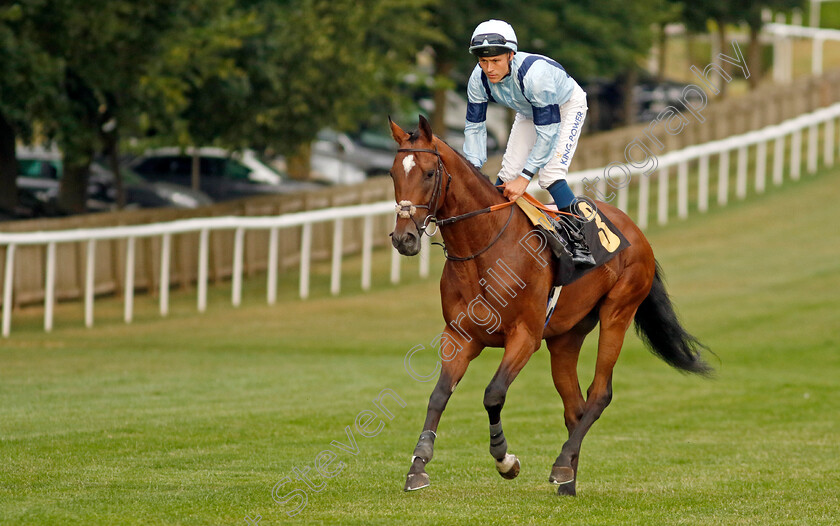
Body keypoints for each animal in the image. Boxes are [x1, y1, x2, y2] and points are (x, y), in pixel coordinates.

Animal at [388, 116, 708, 500]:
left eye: (428, 173)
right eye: (393, 173)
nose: (403, 238)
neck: (484, 248)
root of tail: (637, 233)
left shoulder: (525, 337)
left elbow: (493, 394)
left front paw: (505, 459)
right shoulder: (460, 336)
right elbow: (438, 395)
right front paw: (418, 465)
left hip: (617, 312)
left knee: (599, 394)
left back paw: (561, 465)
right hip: (565, 338)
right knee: (575, 408)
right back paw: (568, 479)